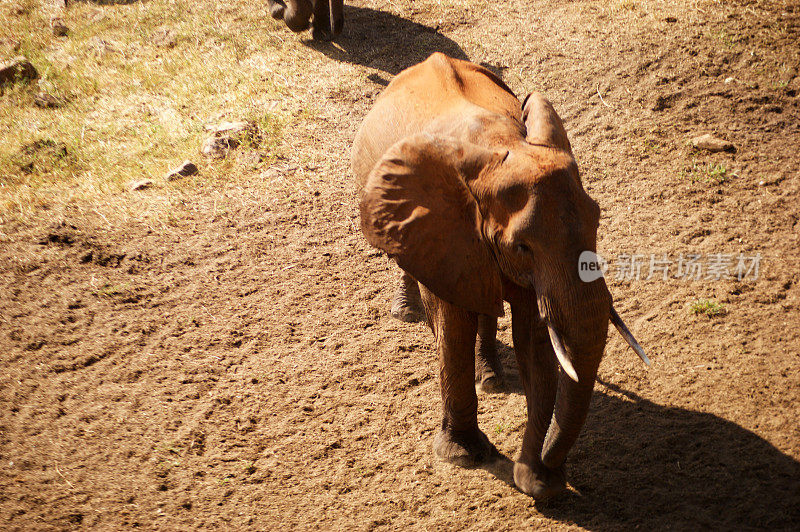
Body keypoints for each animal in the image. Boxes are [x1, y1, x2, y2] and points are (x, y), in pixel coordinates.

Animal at [354, 53, 648, 498]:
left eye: (598, 219)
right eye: (522, 246)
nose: (547, 472)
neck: (500, 146)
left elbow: (536, 343)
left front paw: (537, 482)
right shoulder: (446, 235)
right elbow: (453, 329)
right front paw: (465, 456)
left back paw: (490, 377)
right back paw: (407, 313)